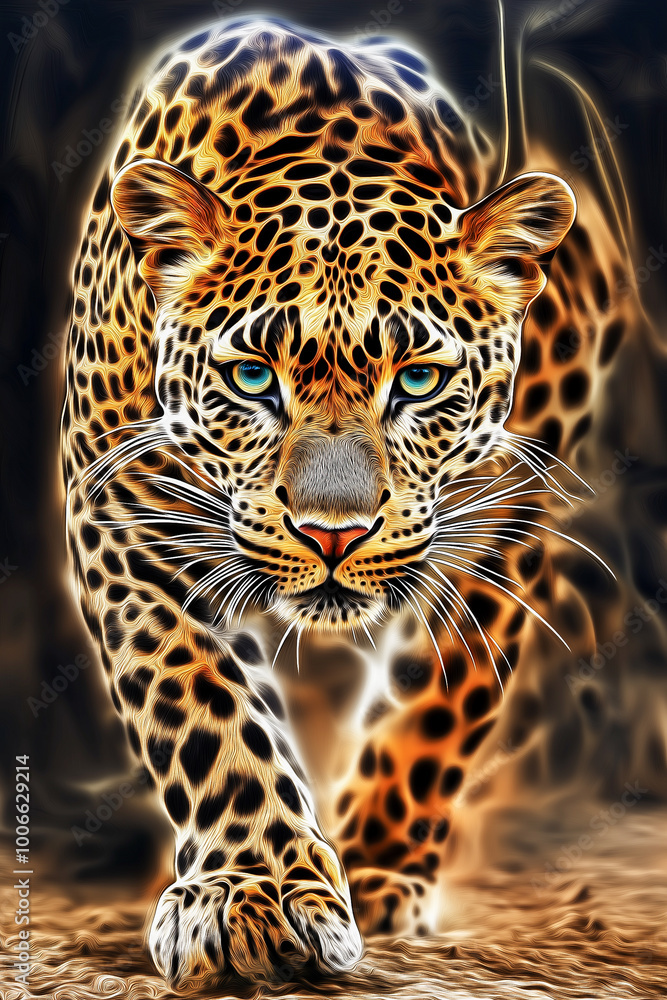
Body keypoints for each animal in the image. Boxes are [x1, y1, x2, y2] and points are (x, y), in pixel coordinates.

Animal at [60, 16, 638, 989]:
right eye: (253, 378)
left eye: (418, 380)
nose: (333, 535)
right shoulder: (128, 519)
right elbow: (202, 702)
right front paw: (250, 891)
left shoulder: (500, 509)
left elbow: (438, 694)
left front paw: (371, 867)